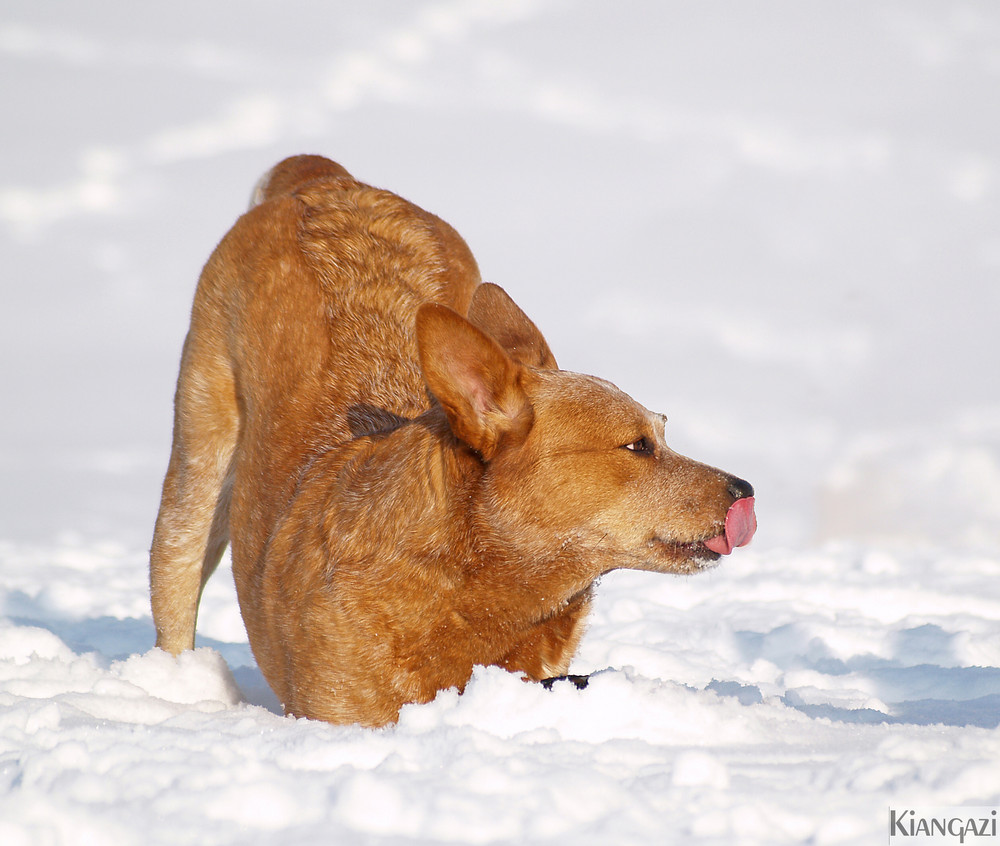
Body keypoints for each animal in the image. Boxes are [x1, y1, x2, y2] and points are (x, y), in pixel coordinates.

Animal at [148, 154, 752, 728]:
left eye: (664, 431)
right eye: (638, 446)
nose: (744, 488)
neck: (465, 576)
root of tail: (326, 181)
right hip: (196, 472)